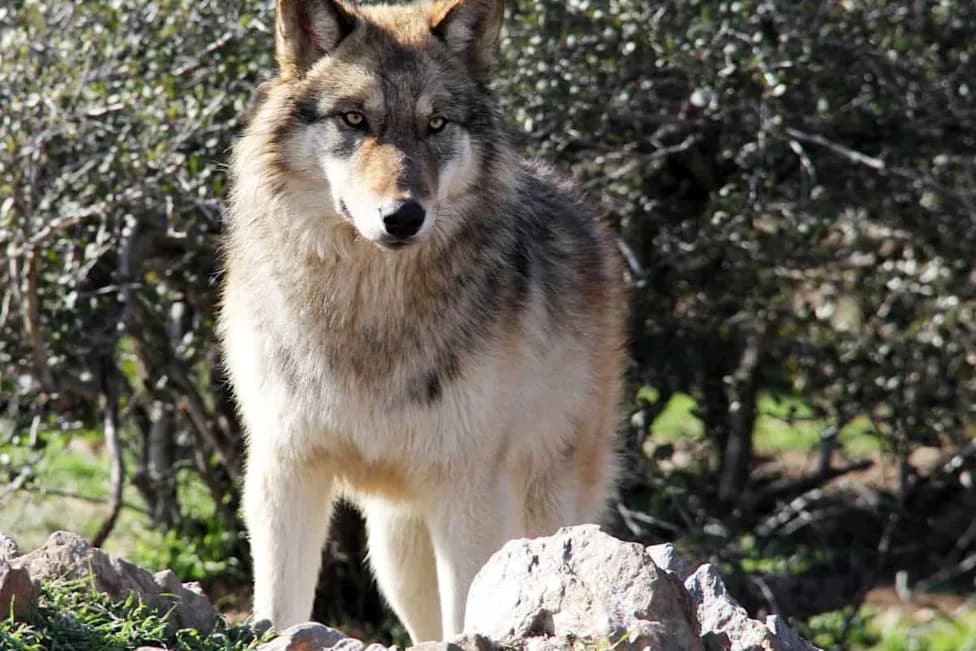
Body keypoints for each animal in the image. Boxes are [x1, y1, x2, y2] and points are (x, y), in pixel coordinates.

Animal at [218, 0, 627, 643]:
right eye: (355, 118)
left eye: (436, 124)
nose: (404, 216)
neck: (369, 316)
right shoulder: (286, 471)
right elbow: (280, 608)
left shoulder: (467, 493)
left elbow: (470, 616)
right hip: (396, 552)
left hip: (538, 513)